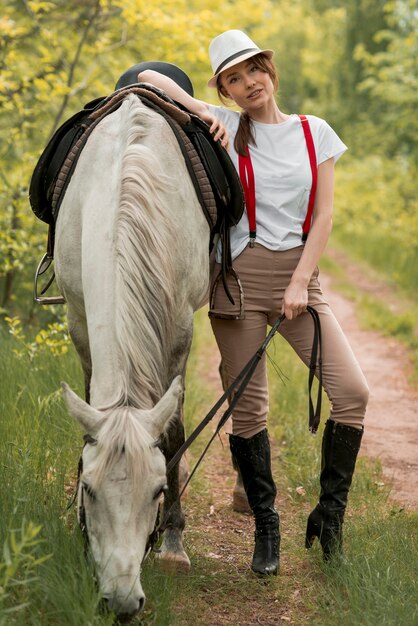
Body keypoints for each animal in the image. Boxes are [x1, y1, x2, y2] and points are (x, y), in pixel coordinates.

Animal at [54, 95, 211, 616]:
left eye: (158, 491)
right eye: (88, 488)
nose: (121, 602)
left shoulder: (181, 330)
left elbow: (175, 432)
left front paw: (174, 546)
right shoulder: (79, 320)